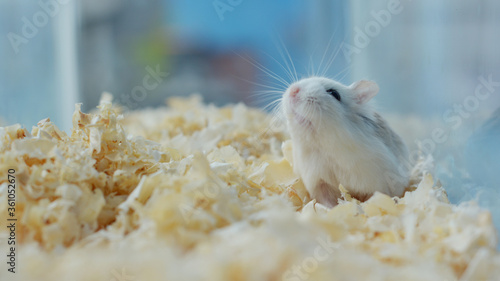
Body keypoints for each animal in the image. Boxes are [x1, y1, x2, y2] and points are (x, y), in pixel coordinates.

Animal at [282, 76, 410, 206]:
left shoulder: (379, 182)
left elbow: (374, 196)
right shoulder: (319, 183)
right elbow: (326, 201)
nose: (293, 90)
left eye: (334, 93)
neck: (324, 147)